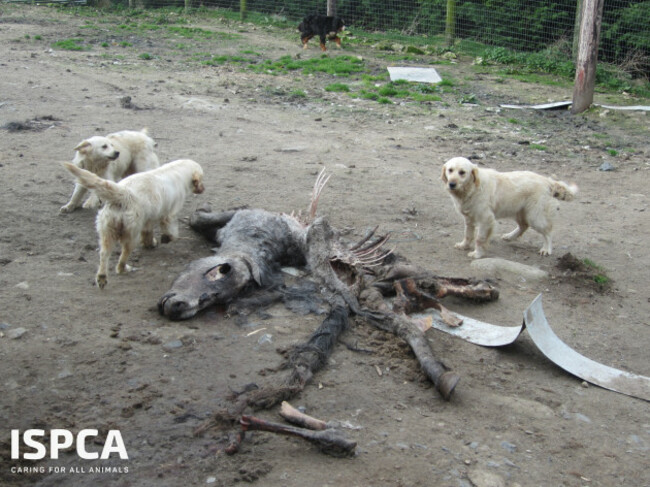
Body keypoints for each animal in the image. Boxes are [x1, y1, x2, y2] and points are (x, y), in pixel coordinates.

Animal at [61, 160, 202, 290]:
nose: (202, 189)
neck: (176, 170)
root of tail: (123, 194)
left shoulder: (148, 219)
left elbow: (147, 233)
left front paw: (150, 243)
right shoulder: (169, 215)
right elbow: (171, 231)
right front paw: (165, 238)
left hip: (107, 231)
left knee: (104, 254)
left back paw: (102, 278)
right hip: (131, 233)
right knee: (123, 256)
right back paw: (123, 269)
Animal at [440, 159, 576, 260]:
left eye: (462, 172)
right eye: (450, 170)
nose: (451, 184)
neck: (472, 188)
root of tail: (548, 181)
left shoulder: (486, 219)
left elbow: (480, 239)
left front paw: (477, 254)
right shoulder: (469, 218)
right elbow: (468, 235)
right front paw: (463, 246)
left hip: (535, 217)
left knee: (548, 231)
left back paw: (546, 249)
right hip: (519, 211)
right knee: (524, 226)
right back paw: (510, 236)